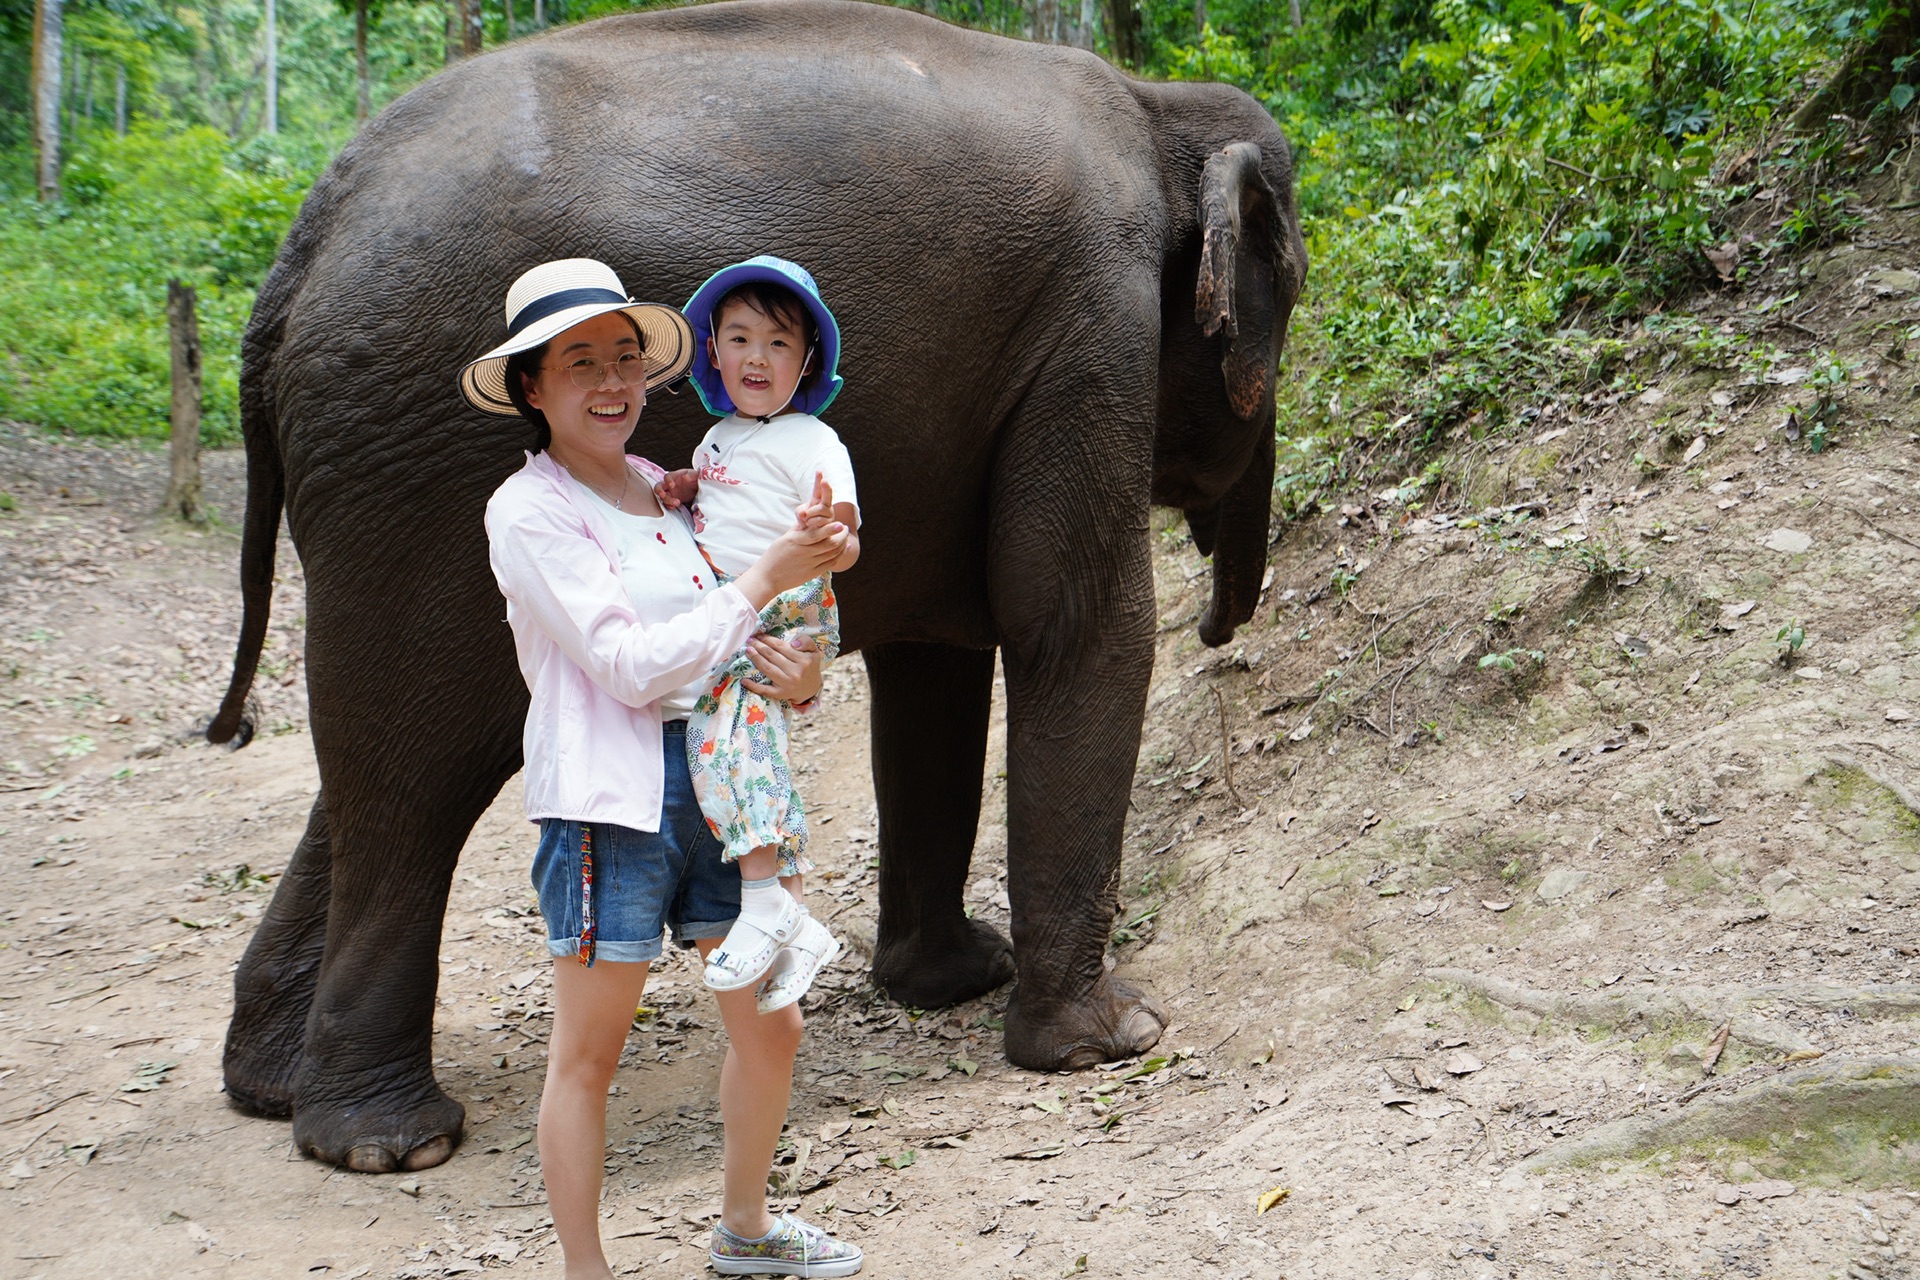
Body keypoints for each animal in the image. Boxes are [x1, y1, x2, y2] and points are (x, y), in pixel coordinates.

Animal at [214, 0, 1305, 1174]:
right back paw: (389, 1141)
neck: (1158, 107)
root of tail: (296, 257)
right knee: (423, 768)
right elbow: (1076, 623)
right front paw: (1113, 1038)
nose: (1223, 622)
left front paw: (956, 980)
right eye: (1290, 296)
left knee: (379, 761)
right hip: (417, 477)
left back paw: (279, 1092)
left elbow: (937, 665)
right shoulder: (1093, 325)